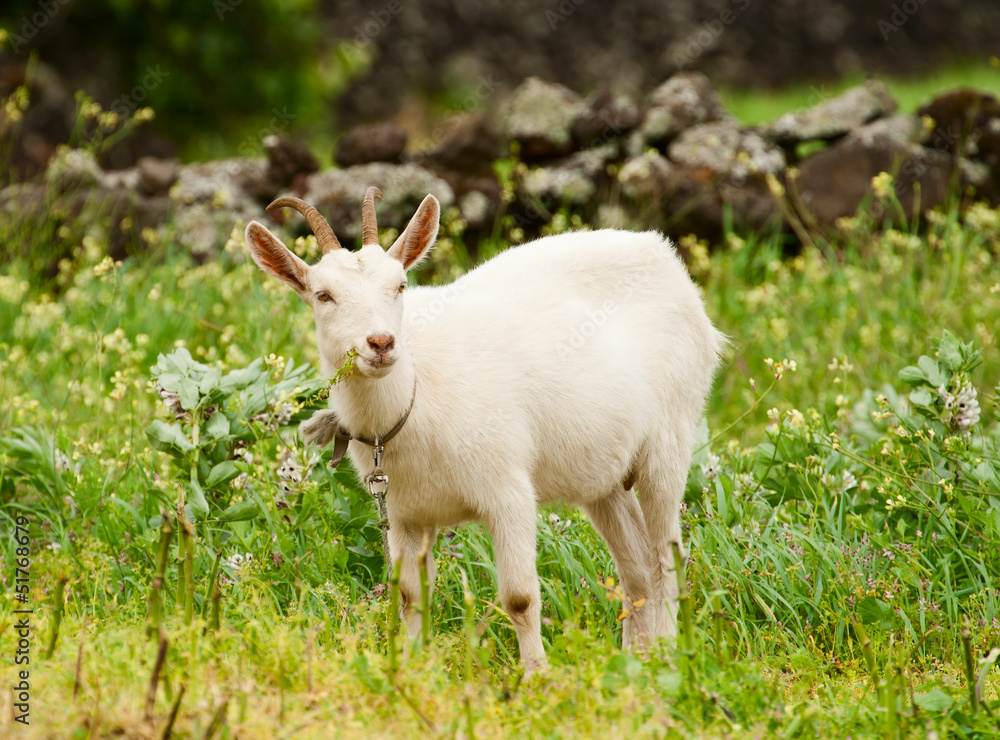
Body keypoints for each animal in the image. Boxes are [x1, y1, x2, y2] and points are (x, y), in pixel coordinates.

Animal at [245, 189, 724, 672]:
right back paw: (635, 662)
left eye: (400, 286)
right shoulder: (404, 513)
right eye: (323, 295)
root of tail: (661, 253)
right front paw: (414, 669)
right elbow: (410, 595)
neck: (415, 396)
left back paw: (669, 653)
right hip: (603, 475)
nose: (380, 343)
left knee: (667, 555)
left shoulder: (508, 490)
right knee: (637, 565)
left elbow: (519, 598)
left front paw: (536, 676)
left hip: (669, 437)